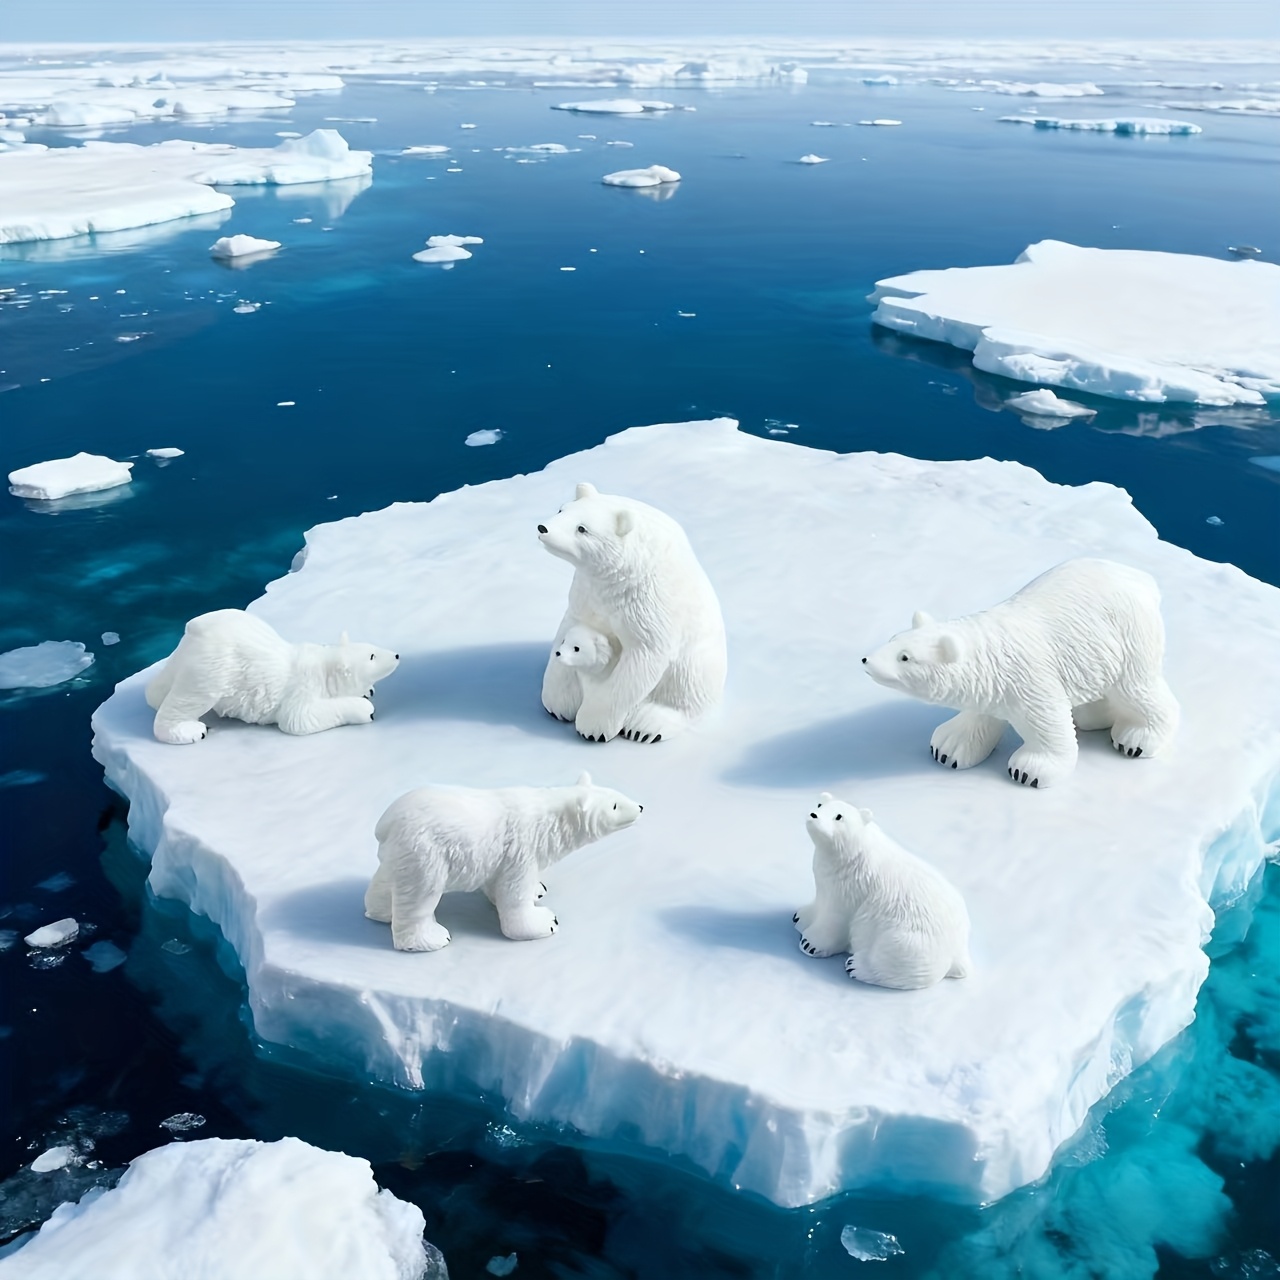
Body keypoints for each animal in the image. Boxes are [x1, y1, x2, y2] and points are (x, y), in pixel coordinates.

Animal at [145, 609, 399, 744]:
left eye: (371, 648)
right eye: (372, 656)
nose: (396, 655)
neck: (324, 668)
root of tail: (193, 630)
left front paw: (367, 691)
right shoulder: (302, 688)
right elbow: (298, 719)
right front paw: (364, 708)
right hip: (216, 665)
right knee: (194, 696)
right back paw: (191, 730)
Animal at [364, 772, 643, 951]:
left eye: (616, 794)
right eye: (614, 806)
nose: (640, 806)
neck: (550, 821)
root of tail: (385, 823)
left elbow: (497, 883)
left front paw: (538, 890)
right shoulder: (521, 849)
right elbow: (514, 895)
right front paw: (546, 922)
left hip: (399, 853)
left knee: (386, 882)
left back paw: (381, 912)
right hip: (425, 852)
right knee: (420, 895)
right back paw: (433, 938)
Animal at [537, 482, 727, 743]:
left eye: (582, 528)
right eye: (561, 509)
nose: (543, 528)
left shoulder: (646, 602)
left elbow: (642, 657)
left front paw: (593, 725)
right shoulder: (587, 590)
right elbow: (570, 626)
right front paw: (558, 702)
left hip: (699, 663)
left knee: (685, 688)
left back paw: (647, 725)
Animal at [794, 793, 971, 990]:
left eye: (839, 816)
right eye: (819, 804)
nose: (814, 815)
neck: (853, 851)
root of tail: (960, 949)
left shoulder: (852, 886)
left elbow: (836, 918)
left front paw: (810, 943)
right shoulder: (827, 877)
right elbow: (820, 899)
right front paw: (800, 917)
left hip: (911, 937)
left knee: (895, 956)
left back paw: (857, 966)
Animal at [861, 558, 1179, 789]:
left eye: (905, 657)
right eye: (893, 638)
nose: (866, 659)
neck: (989, 655)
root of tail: (1141, 578)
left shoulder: (1030, 677)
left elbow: (1047, 723)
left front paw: (1030, 770)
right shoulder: (993, 684)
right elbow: (978, 717)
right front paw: (948, 746)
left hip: (1128, 637)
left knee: (1138, 688)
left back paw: (1136, 738)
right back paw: (1091, 717)